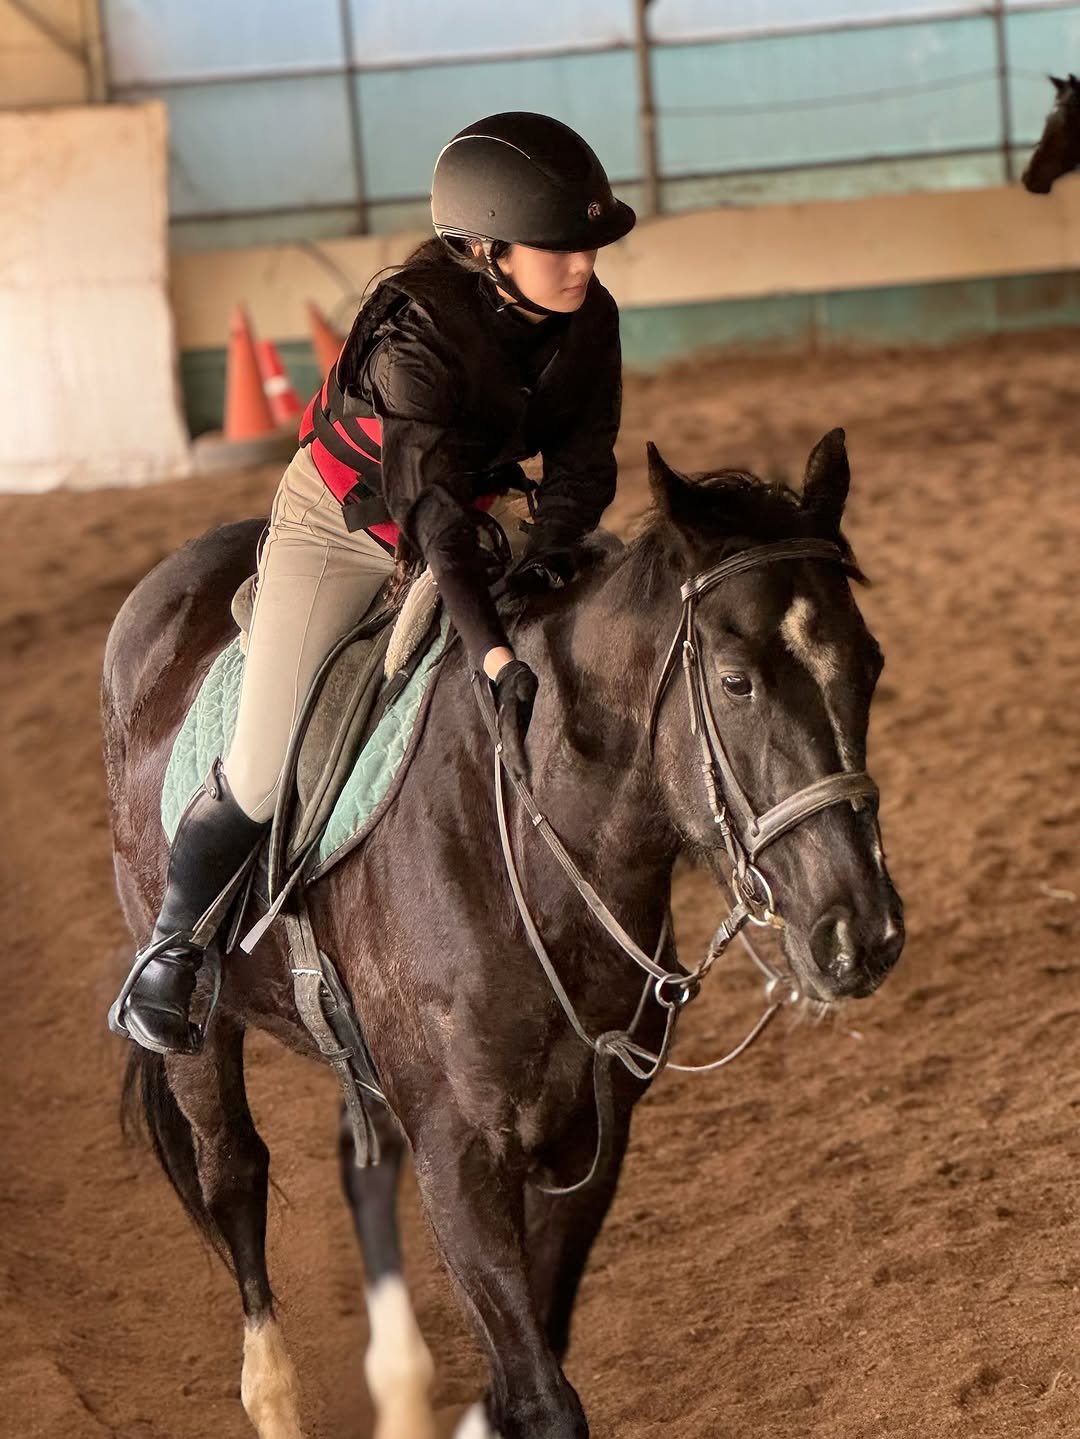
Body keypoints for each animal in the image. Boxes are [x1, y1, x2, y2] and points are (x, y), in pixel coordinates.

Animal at [107, 429, 904, 1439]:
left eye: (869, 663)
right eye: (736, 681)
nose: (862, 929)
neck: (528, 848)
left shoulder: (589, 1139)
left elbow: (531, 1362)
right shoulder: (460, 1158)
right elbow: (542, 1394)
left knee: (357, 1166)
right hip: (198, 1030)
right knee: (234, 1173)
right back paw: (275, 1393)